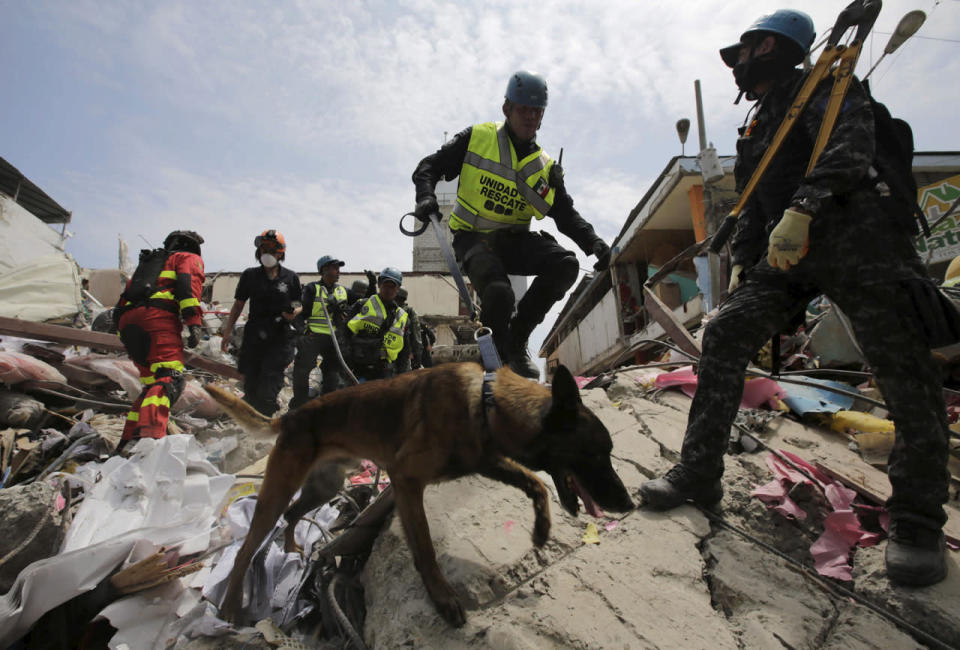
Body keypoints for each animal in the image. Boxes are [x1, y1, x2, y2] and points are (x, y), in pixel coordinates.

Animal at [206, 362, 632, 624]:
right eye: (596, 453)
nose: (628, 504)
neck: (486, 403)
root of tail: (290, 416)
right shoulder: (406, 479)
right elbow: (424, 547)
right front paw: (442, 597)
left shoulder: (487, 459)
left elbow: (537, 482)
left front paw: (542, 529)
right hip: (279, 488)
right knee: (248, 547)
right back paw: (230, 606)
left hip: (325, 486)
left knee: (293, 514)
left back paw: (293, 546)